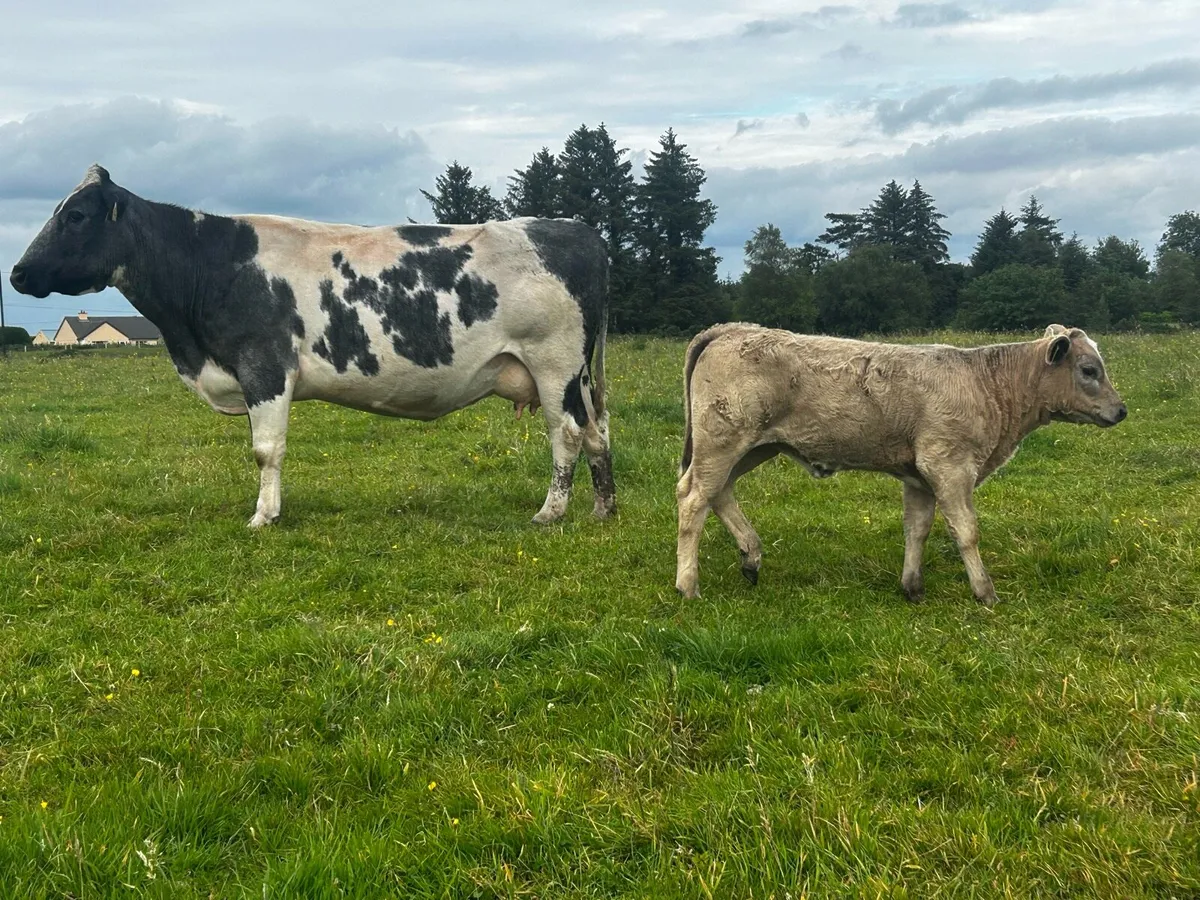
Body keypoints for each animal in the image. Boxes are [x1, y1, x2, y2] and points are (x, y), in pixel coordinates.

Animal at [10, 165, 615, 526]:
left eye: (76, 215)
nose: (15, 273)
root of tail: (578, 230)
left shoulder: (265, 366)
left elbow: (266, 449)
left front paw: (264, 517)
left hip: (554, 361)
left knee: (565, 433)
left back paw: (550, 513)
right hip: (579, 373)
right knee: (598, 431)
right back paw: (603, 508)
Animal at [675, 323, 1127, 606]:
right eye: (1089, 370)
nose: (1121, 410)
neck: (988, 384)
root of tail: (732, 329)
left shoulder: (919, 477)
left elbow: (917, 530)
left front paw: (912, 587)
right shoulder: (948, 463)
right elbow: (966, 531)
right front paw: (985, 592)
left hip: (751, 447)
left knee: (718, 493)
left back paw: (750, 557)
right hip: (723, 441)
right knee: (694, 501)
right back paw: (688, 585)